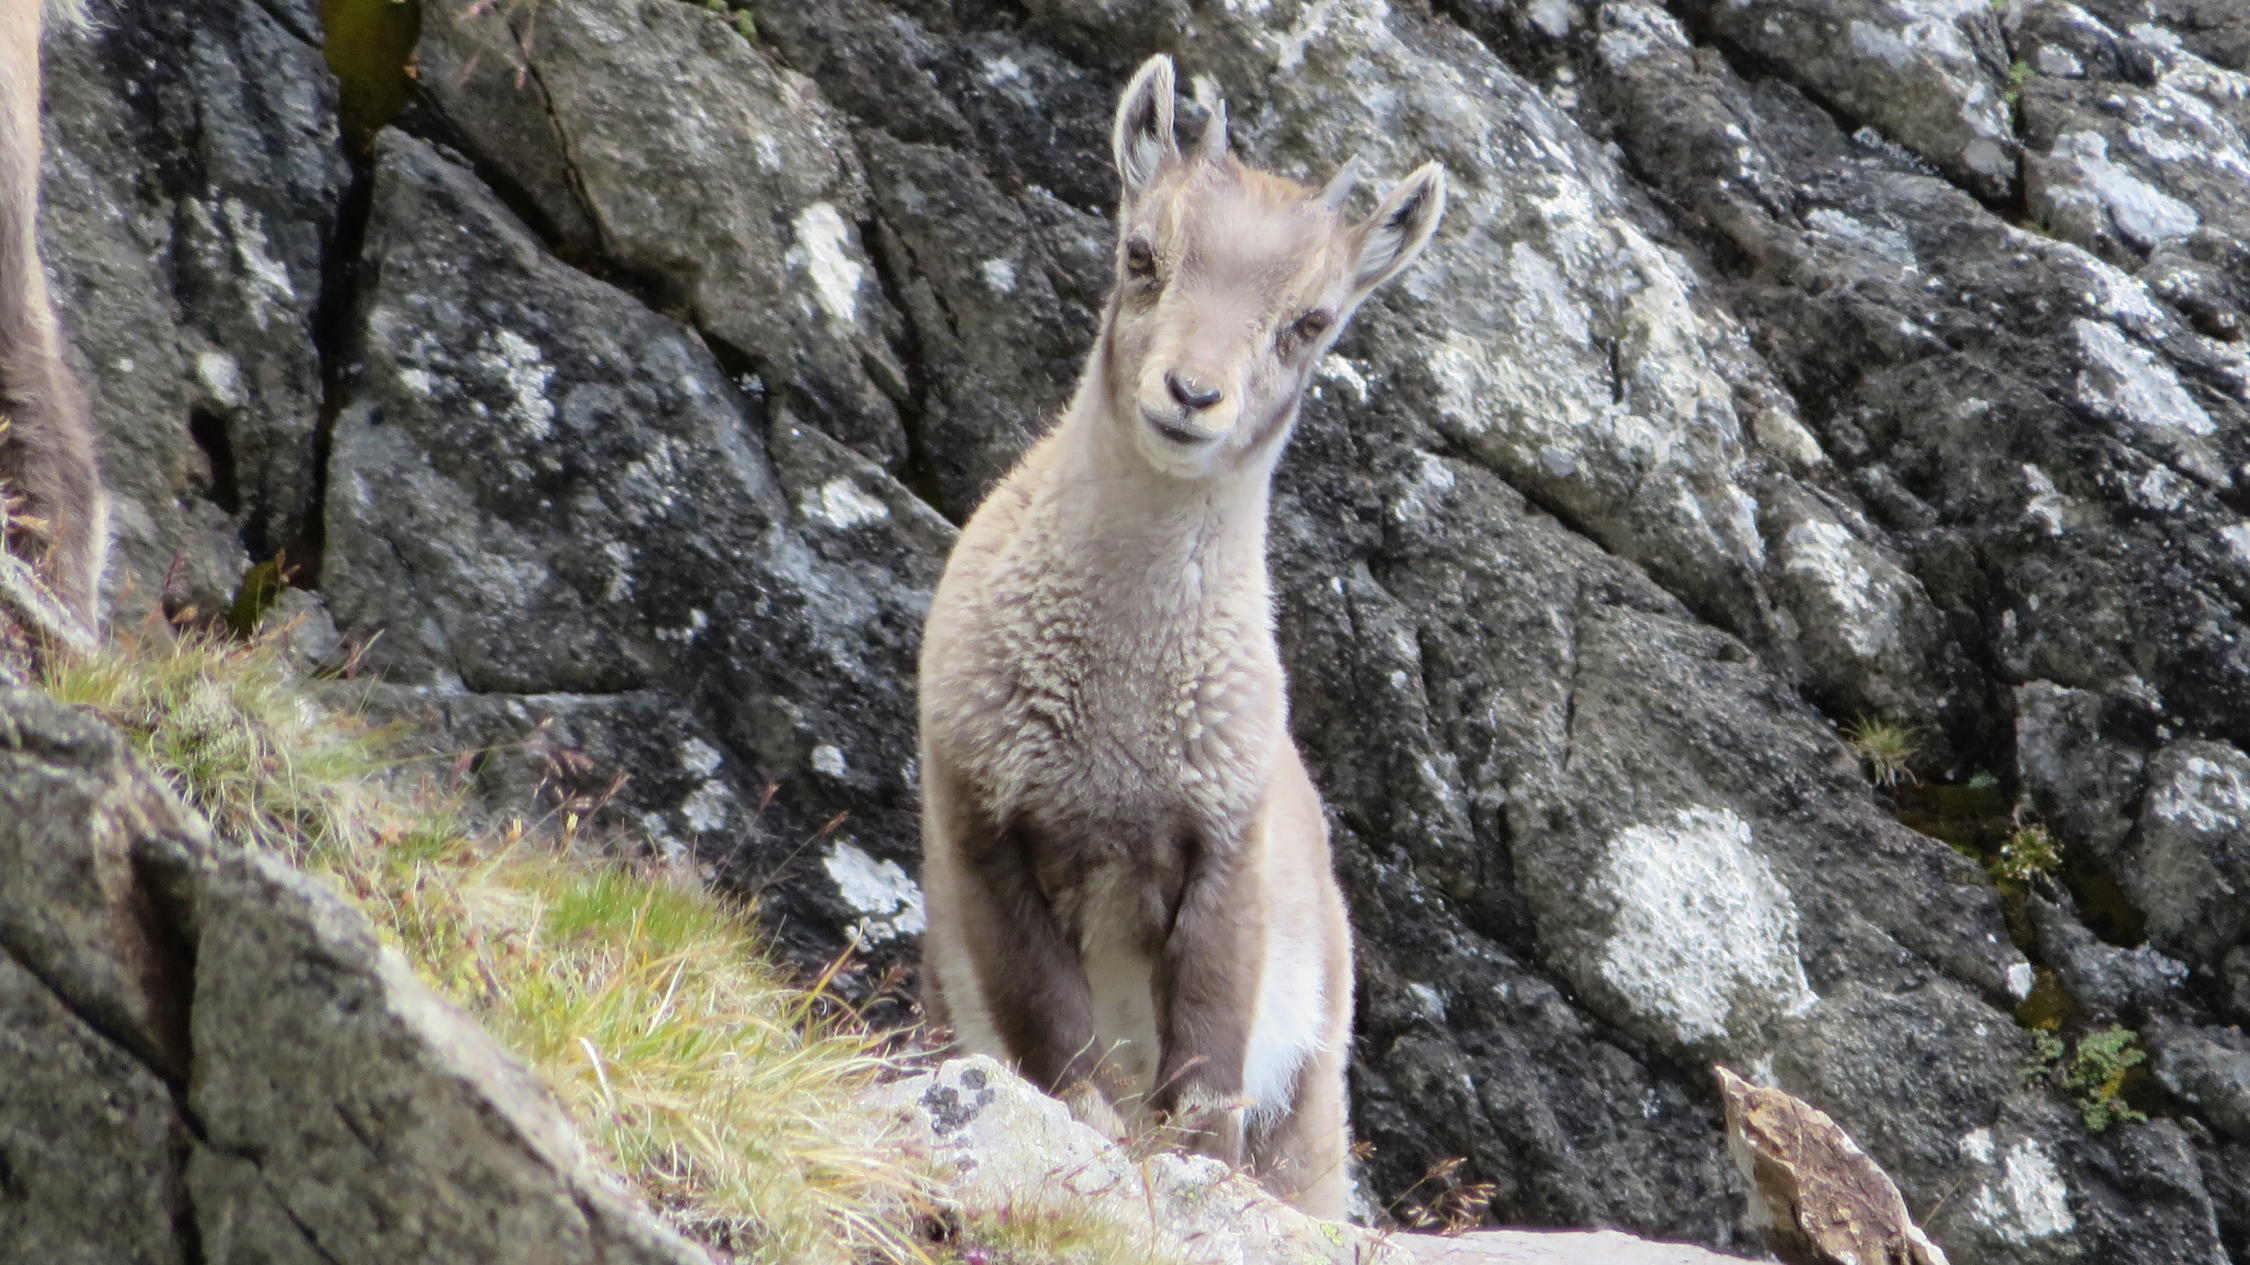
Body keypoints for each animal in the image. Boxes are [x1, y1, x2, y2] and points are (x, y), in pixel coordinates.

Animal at [915, 53, 1445, 1218]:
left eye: (1312, 320)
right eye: (1142, 252)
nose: (1192, 394)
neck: (1118, 704)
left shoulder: (1223, 849)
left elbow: (1203, 1075)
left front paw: (1185, 1174)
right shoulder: (980, 820)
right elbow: (1059, 1044)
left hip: (1313, 1099)